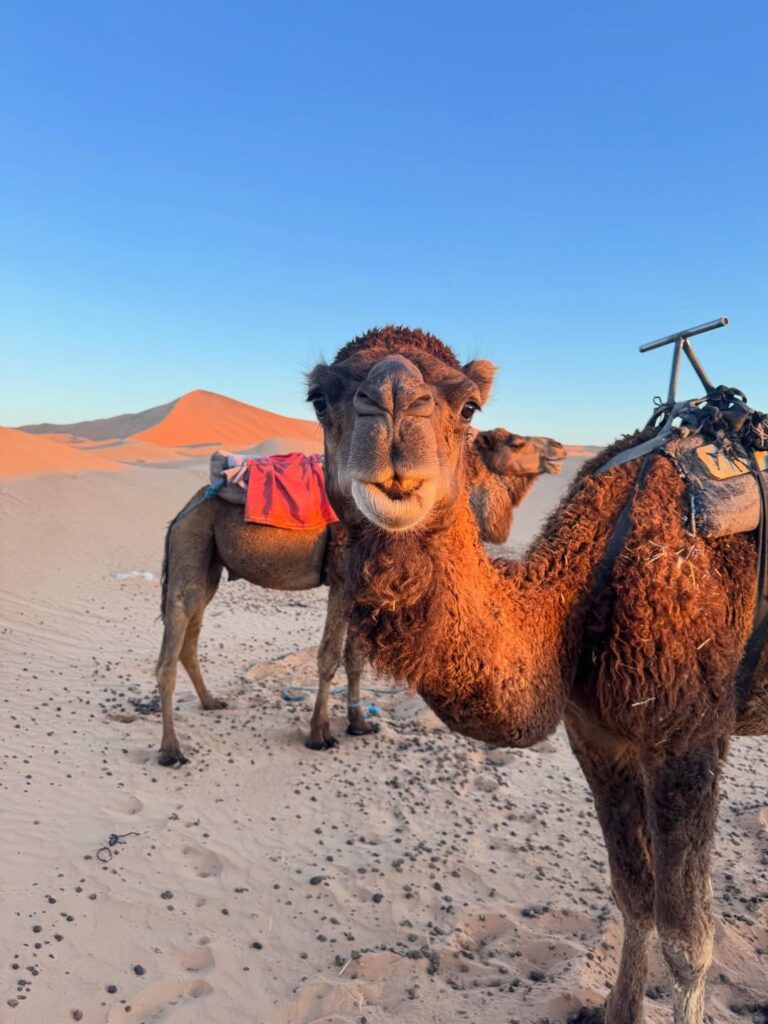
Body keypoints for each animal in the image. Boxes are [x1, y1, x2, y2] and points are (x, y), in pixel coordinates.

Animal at [155, 427, 565, 765]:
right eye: (517, 442)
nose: (558, 447)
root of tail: (185, 508)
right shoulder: (341, 580)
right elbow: (328, 658)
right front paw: (319, 734)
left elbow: (354, 659)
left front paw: (357, 723)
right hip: (193, 539)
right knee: (172, 645)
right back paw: (171, 750)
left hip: (210, 561)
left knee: (191, 634)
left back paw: (211, 702)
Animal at [307, 326, 767, 1024]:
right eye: (318, 400)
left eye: (469, 406)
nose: (391, 407)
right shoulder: (596, 736)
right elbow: (633, 894)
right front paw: (615, 1012)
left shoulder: (687, 738)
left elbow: (688, 940)